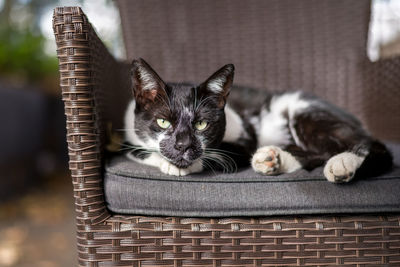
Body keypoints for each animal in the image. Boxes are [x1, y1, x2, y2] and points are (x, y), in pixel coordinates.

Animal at [123, 58, 392, 183]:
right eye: (163, 122)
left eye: (201, 124)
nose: (183, 146)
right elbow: (136, 150)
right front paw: (167, 161)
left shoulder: (245, 136)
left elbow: (223, 153)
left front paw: (183, 164)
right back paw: (273, 159)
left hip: (304, 112)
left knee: (365, 144)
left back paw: (343, 163)